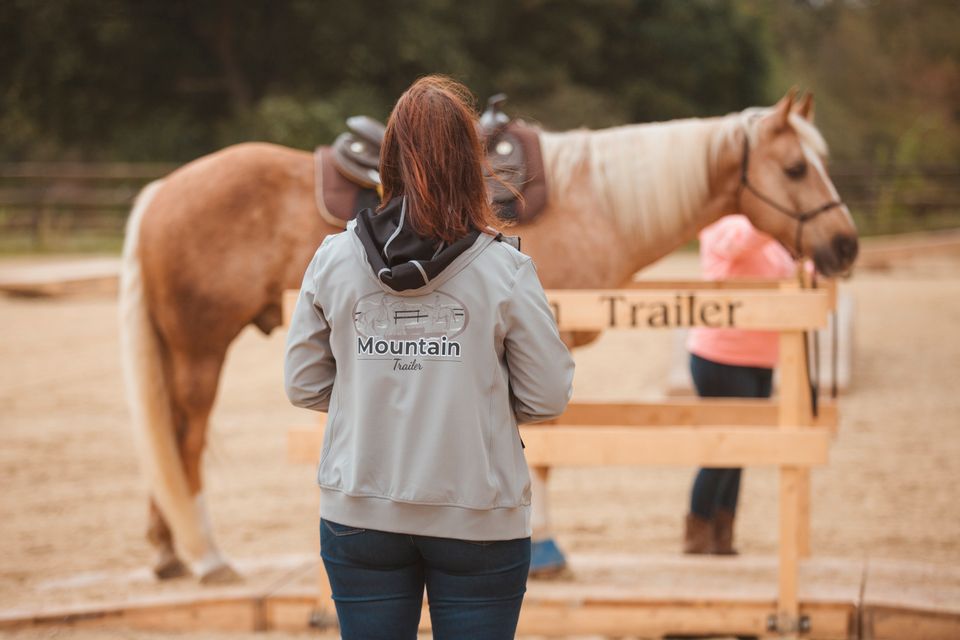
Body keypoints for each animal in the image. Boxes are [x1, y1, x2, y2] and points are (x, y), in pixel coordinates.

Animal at [116, 90, 860, 584]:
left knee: (167, 439)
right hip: (201, 349)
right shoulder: (539, 345)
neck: (592, 198)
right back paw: (207, 556)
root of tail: (160, 191)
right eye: (797, 169)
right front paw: (547, 551)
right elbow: (546, 451)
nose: (845, 244)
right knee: (185, 440)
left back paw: (169, 552)